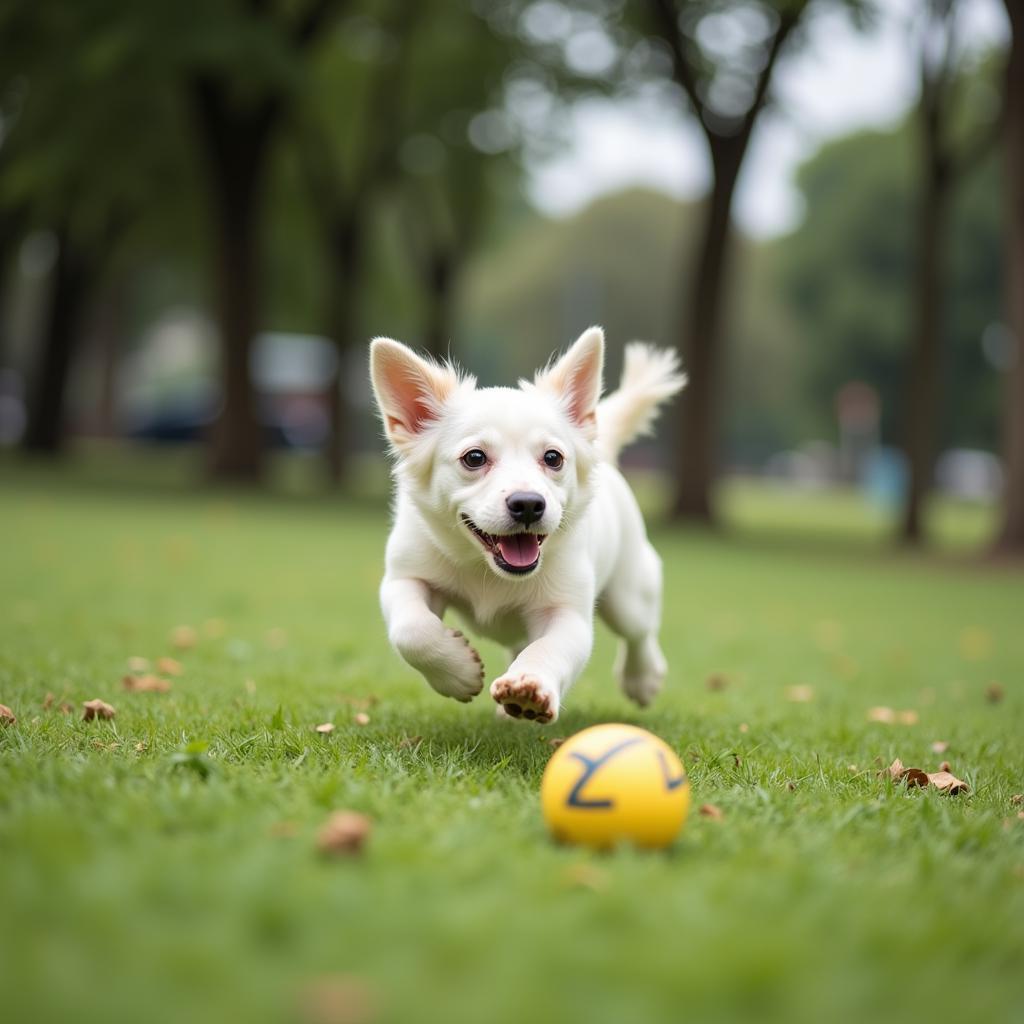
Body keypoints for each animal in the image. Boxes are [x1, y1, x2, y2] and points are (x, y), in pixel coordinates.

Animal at [370, 325, 688, 720]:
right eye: (474, 458)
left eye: (553, 458)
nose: (527, 505)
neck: (490, 573)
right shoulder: (405, 578)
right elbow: (411, 630)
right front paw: (458, 672)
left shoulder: (567, 614)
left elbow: (549, 648)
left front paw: (530, 687)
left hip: (629, 594)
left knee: (639, 632)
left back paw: (642, 678)